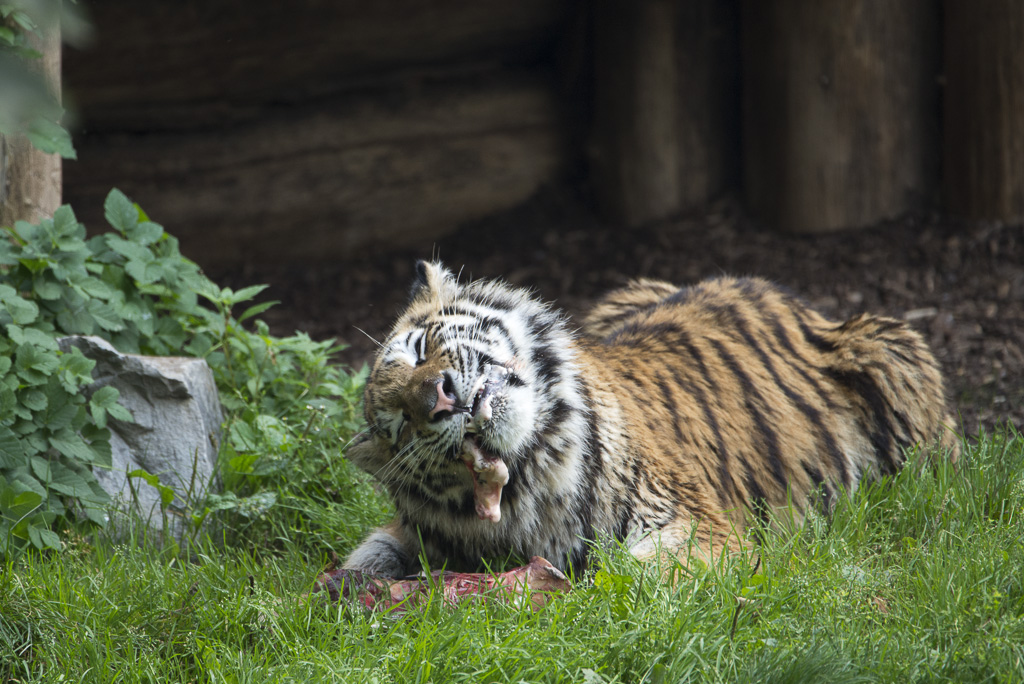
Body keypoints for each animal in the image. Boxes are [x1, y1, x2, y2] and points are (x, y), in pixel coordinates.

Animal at [341, 260, 959, 578]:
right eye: (400, 425)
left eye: (421, 348)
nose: (439, 399)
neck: (533, 474)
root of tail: (789, 297)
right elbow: (370, 550)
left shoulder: (700, 524)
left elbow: (629, 571)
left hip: (891, 353)